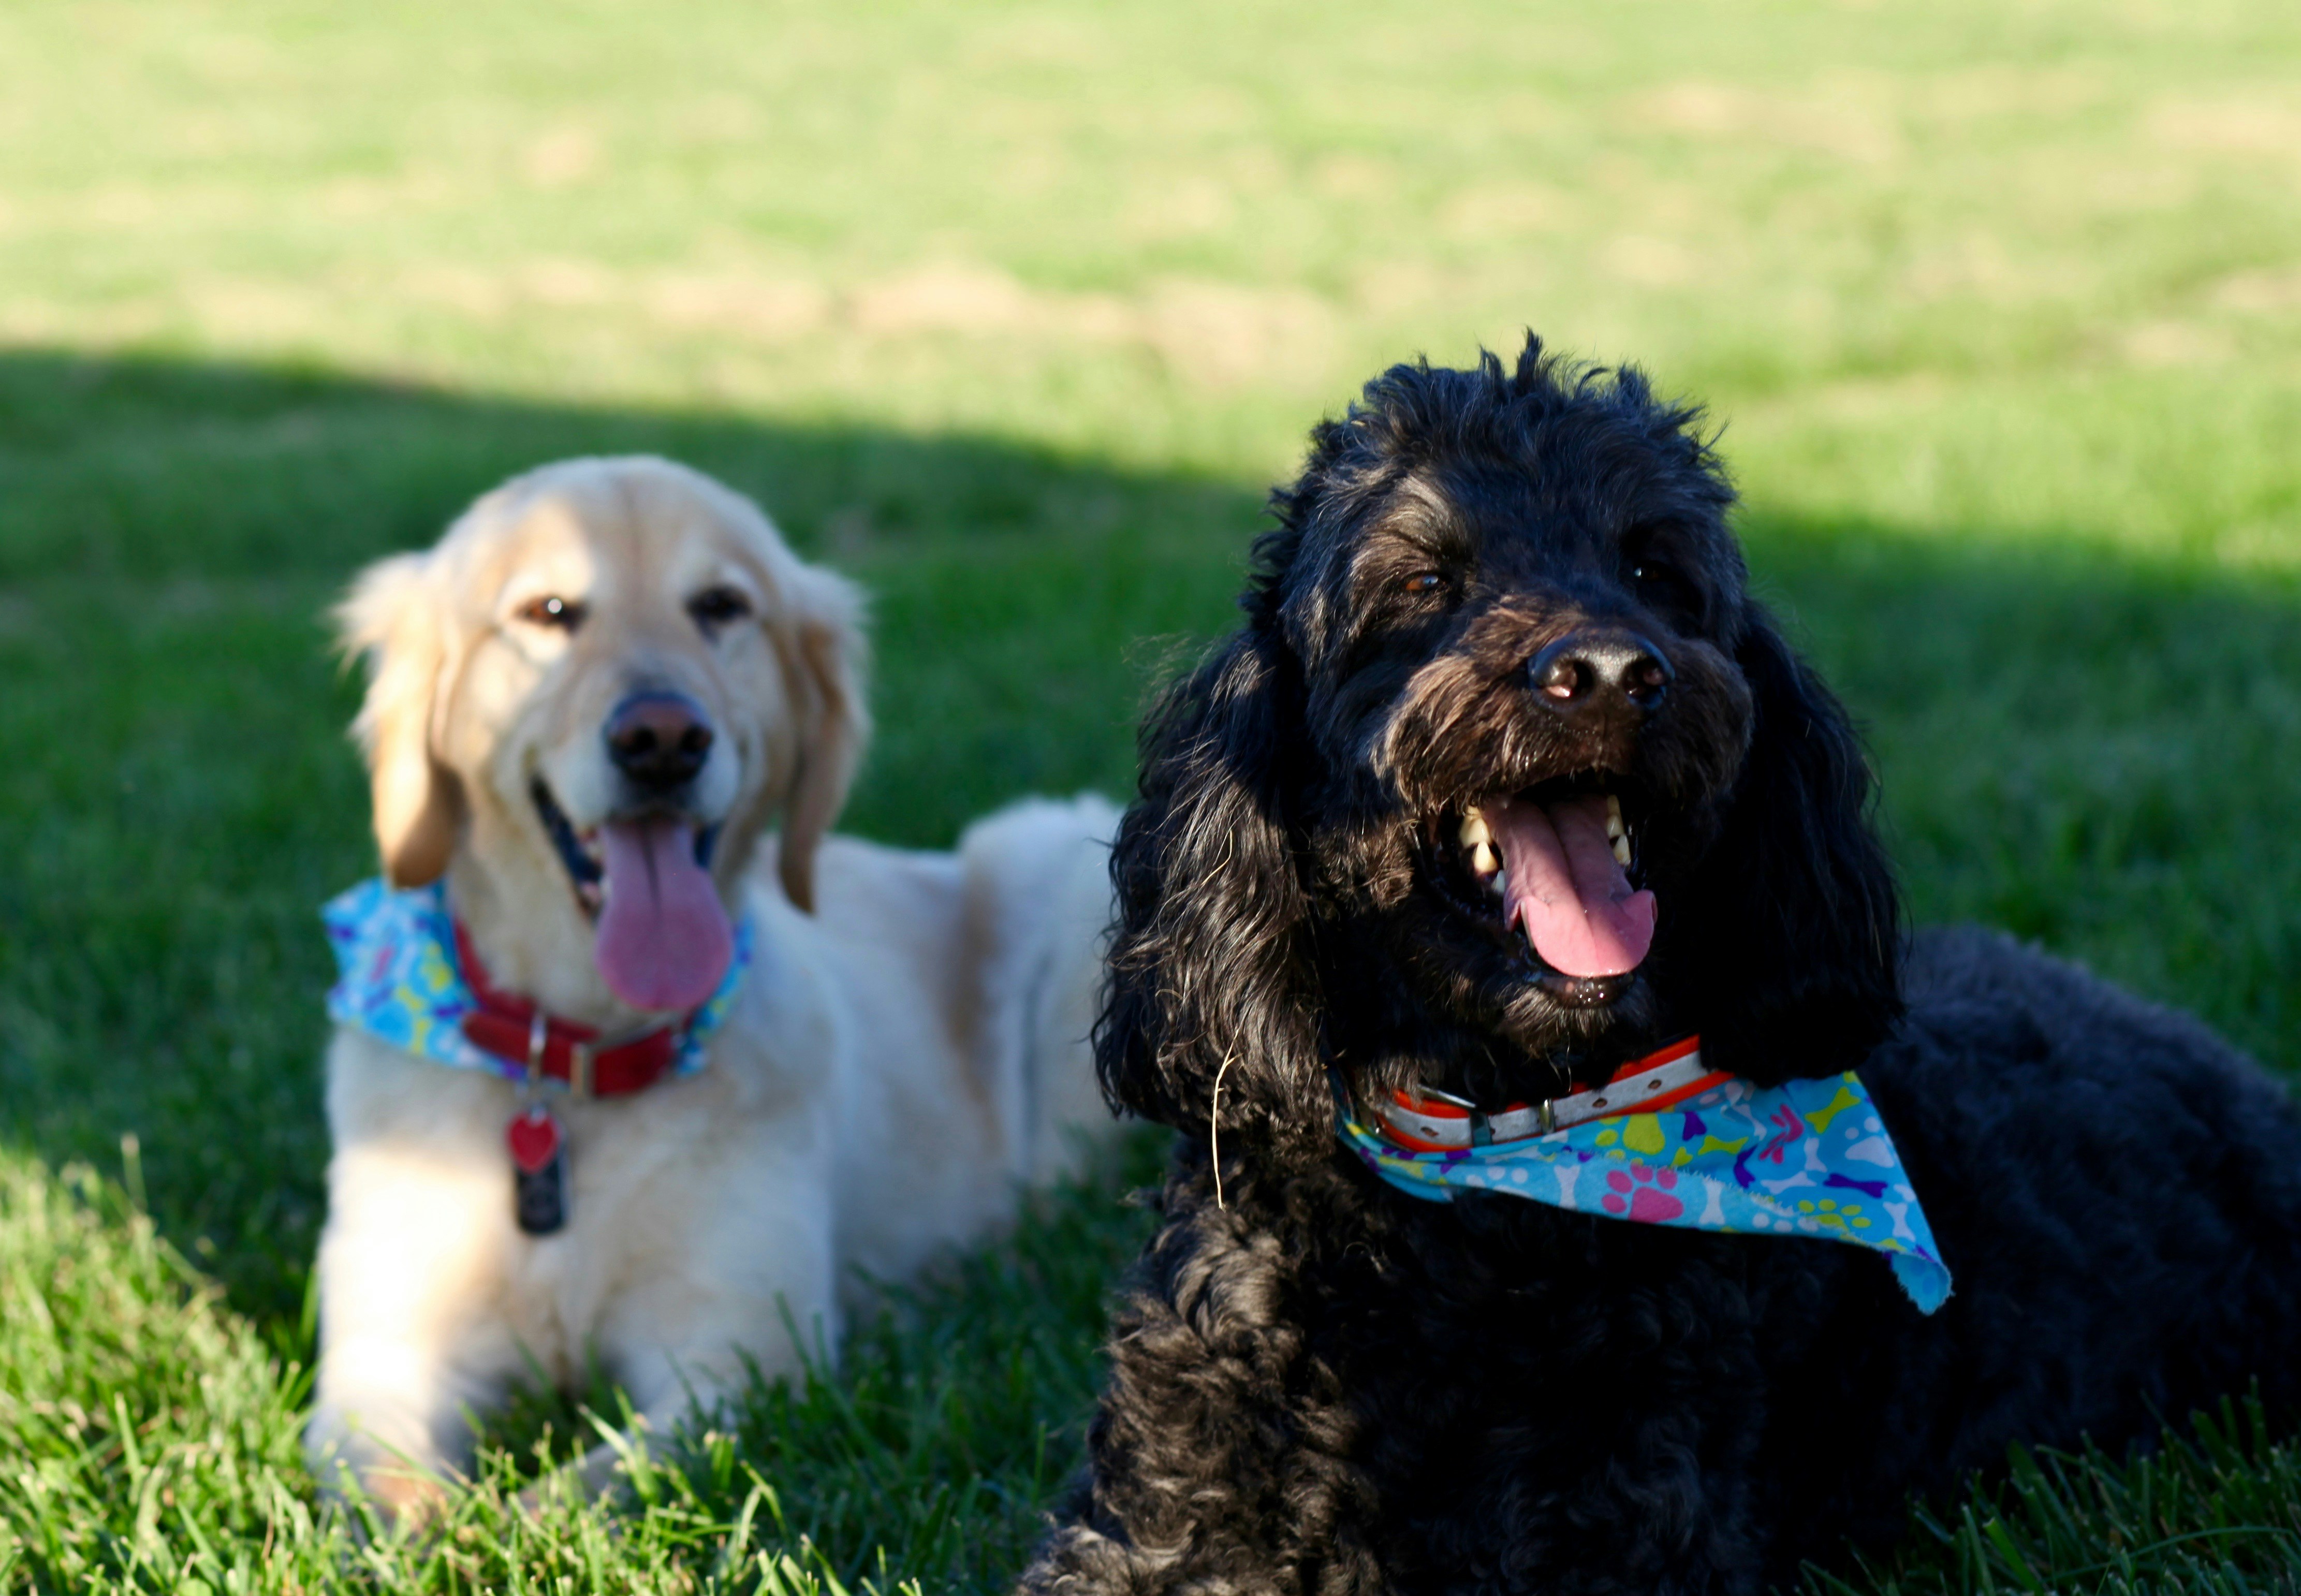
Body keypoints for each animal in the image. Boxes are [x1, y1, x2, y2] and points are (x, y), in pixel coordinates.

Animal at [1021, 338, 2301, 1596]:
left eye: (1650, 568)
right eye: (1423, 584)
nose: (1602, 669)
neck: (1493, 1167)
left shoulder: (1630, 1523)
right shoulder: (1154, 1517)